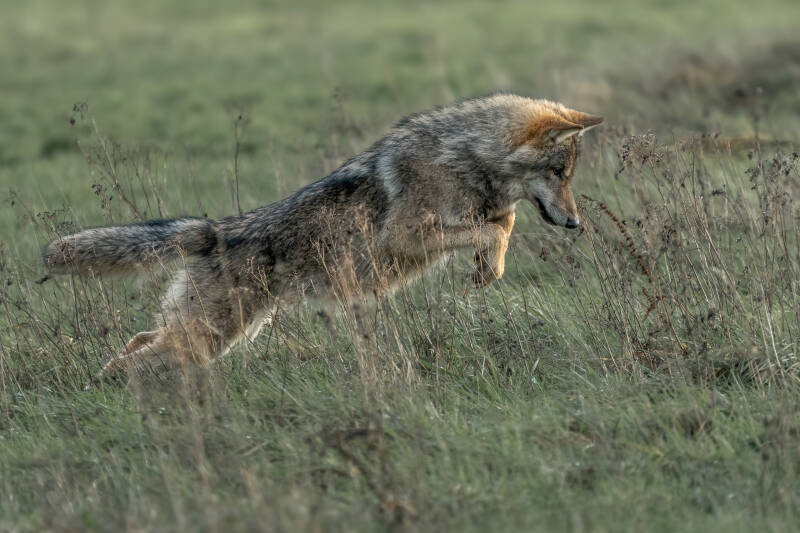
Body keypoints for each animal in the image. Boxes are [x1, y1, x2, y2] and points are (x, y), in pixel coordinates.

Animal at [42, 94, 602, 376]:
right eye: (559, 172)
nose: (575, 224)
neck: (463, 157)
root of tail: (216, 229)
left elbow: (501, 225)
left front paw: (489, 269)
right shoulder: (405, 236)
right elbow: (493, 230)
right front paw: (489, 266)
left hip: (217, 335)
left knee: (142, 340)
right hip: (211, 335)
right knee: (134, 353)